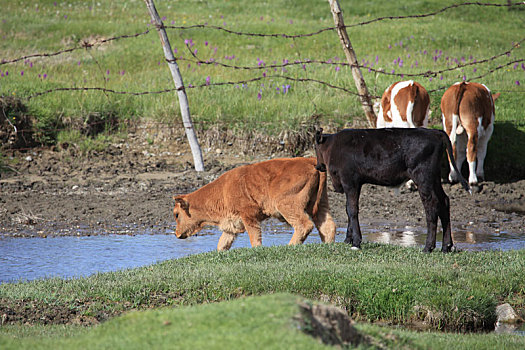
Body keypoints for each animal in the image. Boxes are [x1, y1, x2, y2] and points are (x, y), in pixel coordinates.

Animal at [172, 157, 336, 250]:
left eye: (176, 215)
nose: (177, 234)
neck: (223, 190)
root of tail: (310, 161)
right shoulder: (232, 224)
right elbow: (222, 243)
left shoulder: (248, 217)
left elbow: (254, 238)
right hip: (321, 204)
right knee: (327, 225)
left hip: (287, 206)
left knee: (304, 225)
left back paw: (289, 247)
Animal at [314, 127, 468, 253]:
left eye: (315, 148)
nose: (318, 166)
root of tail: (435, 132)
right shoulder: (355, 183)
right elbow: (349, 210)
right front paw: (348, 240)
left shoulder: (350, 181)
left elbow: (352, 210)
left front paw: (356, 242)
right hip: (434, 178)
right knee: (444, 202)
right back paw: (446, 247)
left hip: (423, 176)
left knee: (432, 206)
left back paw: (428, 247)